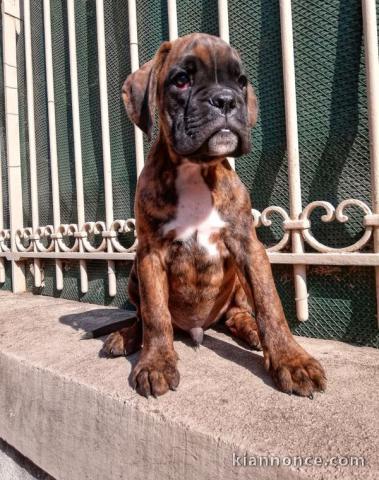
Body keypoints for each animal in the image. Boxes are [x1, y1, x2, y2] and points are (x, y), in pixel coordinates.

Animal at [101, 33, 326, 400]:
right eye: (181, 80)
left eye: (241, 81)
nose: (226, 100)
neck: (196, 169)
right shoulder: (149, 254)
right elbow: (156, 315)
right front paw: (156, 362)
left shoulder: (248, 247)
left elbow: (271, 306)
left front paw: (291, 360)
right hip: (135, 272)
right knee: (142, 317)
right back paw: (126, 336)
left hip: (238, 282)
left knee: (240, 313)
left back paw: (251, 331)